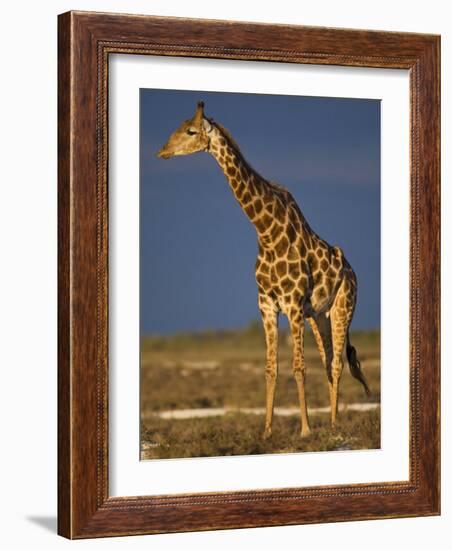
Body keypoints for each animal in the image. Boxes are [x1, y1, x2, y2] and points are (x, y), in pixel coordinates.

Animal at [157, 102, 370, 440]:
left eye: (190, 131)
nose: (162, 151)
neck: (266, 231)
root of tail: (351, 272)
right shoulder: (267, 304)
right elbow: (271, 368)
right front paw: (267, 431)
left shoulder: (293, 304)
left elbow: (298, 366)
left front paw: (305, 429)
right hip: (318, 315)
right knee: (328, 360)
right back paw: (332, 422)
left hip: (343, 307)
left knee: (336, 362)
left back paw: (334, 425)